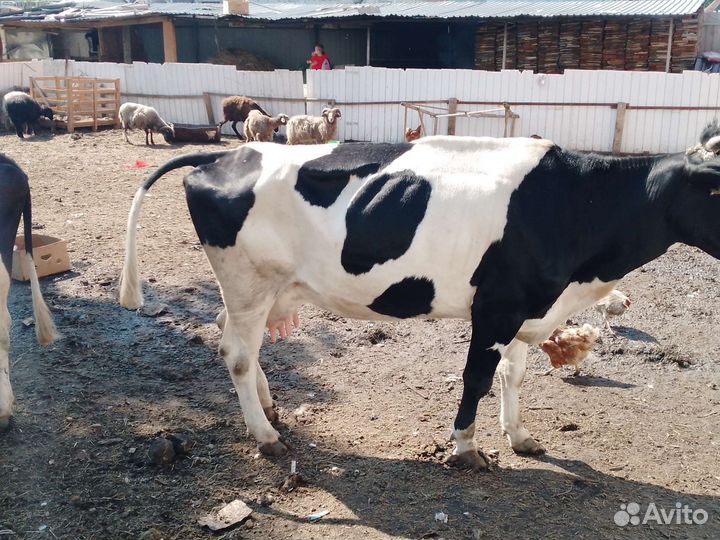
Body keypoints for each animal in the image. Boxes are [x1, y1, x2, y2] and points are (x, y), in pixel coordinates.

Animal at [119, 124, 720, 470]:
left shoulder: (527, 308)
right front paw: (466, 448)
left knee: (236, 340)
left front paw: (520, 436)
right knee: (238, 354)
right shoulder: (496, 308)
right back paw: (265, 436)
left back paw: (267, 408)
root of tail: (224, 157)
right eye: (714, 187)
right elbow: (477, 378)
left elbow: (513, 376)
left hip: (256, 290)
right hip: (249, 280)